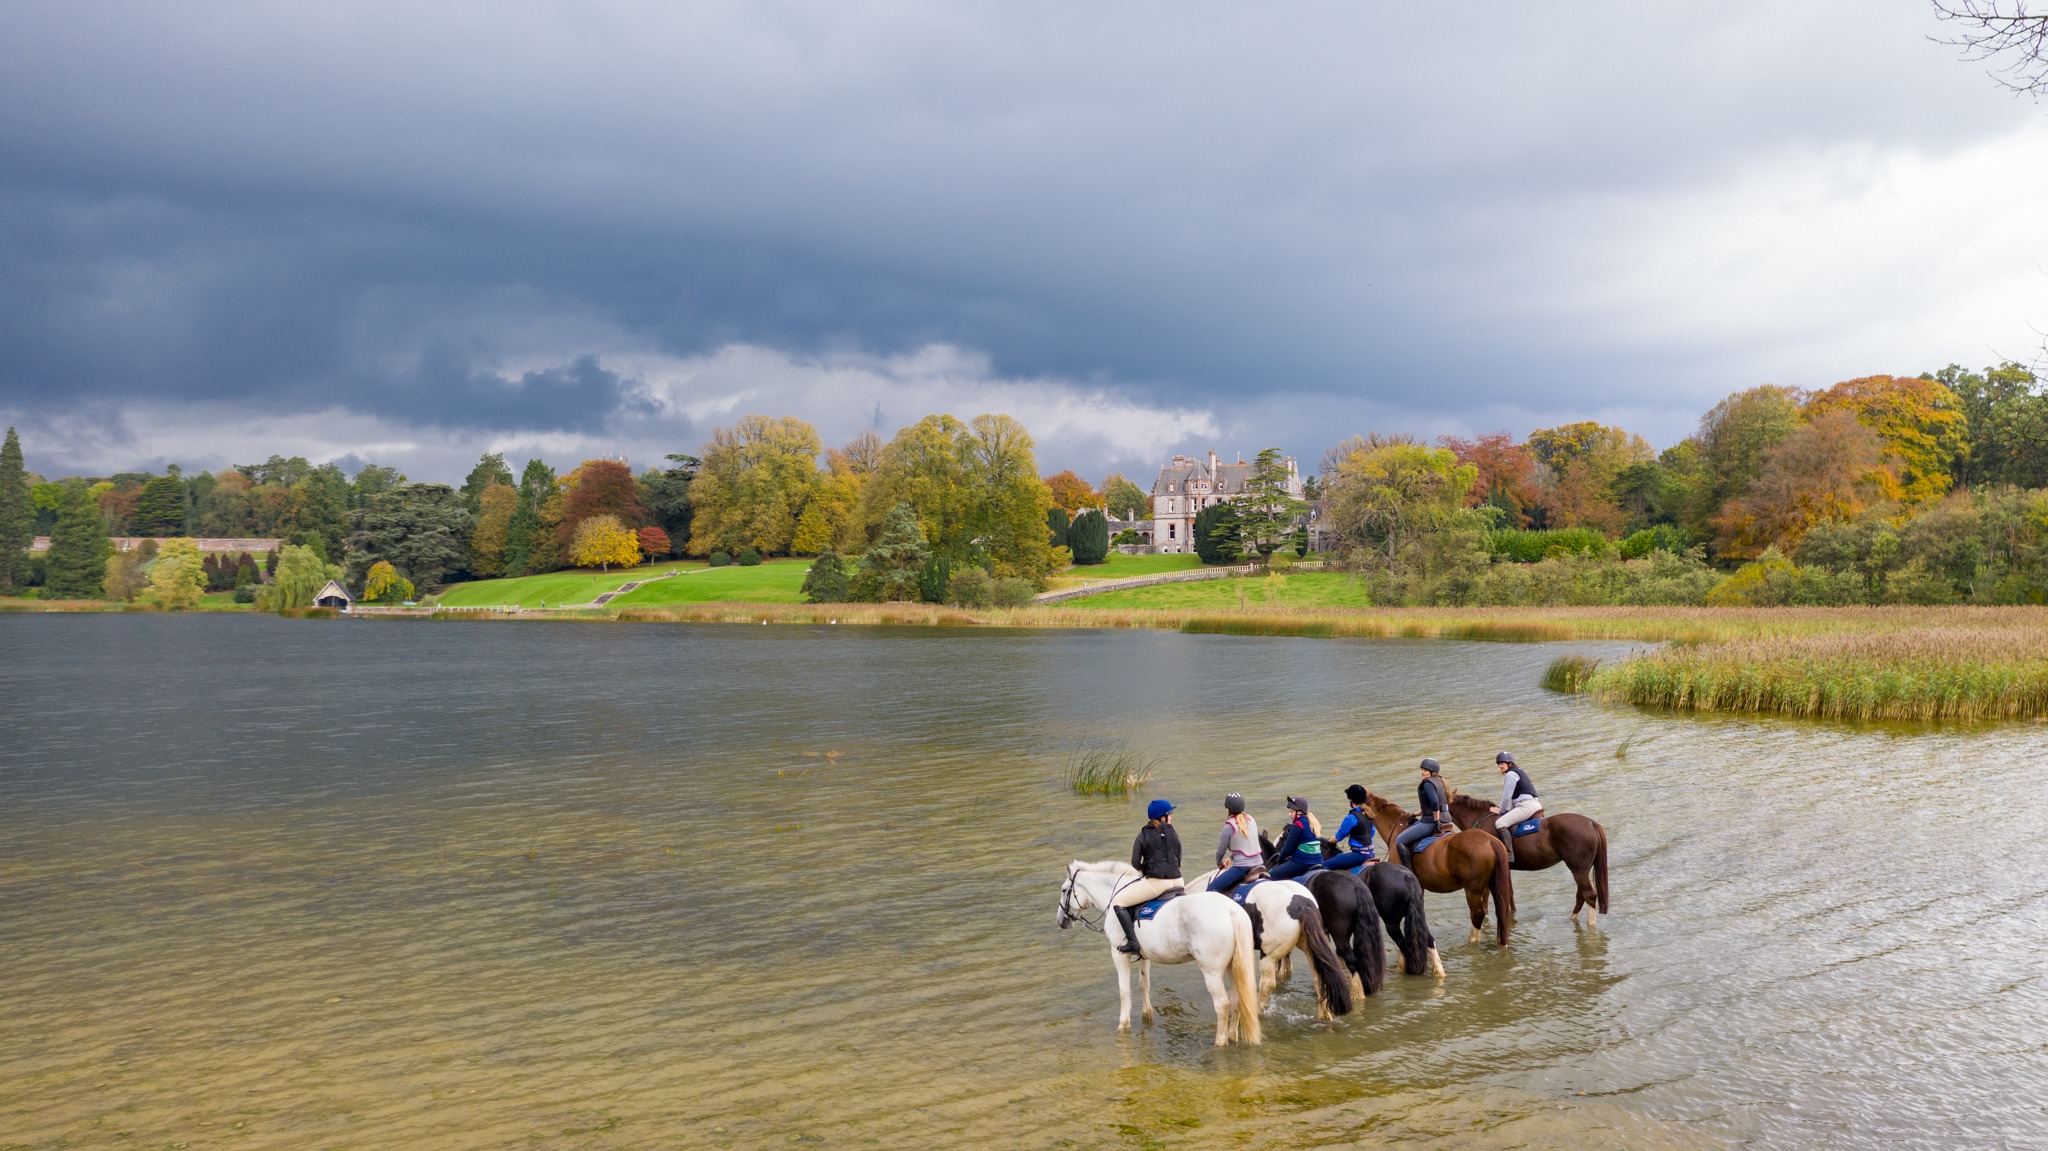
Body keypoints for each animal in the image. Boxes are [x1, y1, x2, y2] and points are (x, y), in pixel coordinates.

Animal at [1056, 861, 1262, 1045]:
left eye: (1064, 890)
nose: (1060, 921)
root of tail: (1231, 910)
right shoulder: (1144, 955)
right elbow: (1144, 984)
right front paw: (1147, 1014)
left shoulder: (1119, 954)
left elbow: (1124, 991)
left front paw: (1123, 1025)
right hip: (1232, 966)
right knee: (1236, 1000)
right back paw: (1232, 1036)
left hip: (1212, 971)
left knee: (1222, 1004)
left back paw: (1220, 1042)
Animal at [1182, 866, 1355, 1021]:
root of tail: (1301, 904)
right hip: (1309, 949)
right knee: (1319, 978)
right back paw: (1324, 1015)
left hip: (1269, 956)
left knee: (1267, 984)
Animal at [1359, 790, 1515, 946]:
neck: (1398, 828)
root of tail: (1491, 840)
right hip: (1493, 885)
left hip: (1473, 890)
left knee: (1477, 915)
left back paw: (1471, 941)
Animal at [1446, 793, 1610, 927]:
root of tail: (1591, 823)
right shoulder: (1506, 868)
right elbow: (1509, 893)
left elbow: (1487, 893)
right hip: (1581, 869)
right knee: (1581, 894)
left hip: (1578, 868)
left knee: (1589, 894)